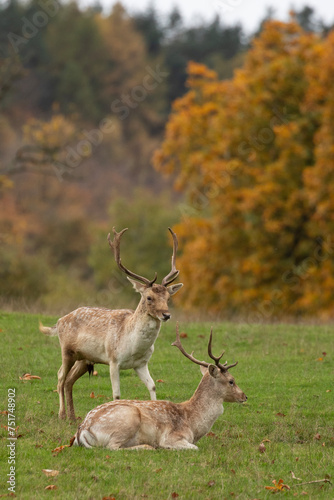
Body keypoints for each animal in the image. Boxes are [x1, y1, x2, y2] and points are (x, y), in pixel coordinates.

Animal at [41, 227, 185, 418]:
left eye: (168, 298)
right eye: (149, 297)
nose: (166, 315)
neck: (133, 346)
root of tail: (59, 321)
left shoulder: (141, 364)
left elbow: (153, 386)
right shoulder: (113, 360)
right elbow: (116, 395)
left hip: (84, 358)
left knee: (69, 380)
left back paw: (72, 417)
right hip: (67, 351)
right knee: (59, 377)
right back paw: (62, 415)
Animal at [72, 326, 245, 452]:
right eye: (231, 381)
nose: (244, 396)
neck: (192, 423)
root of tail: (82, 429)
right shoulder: (172, 437)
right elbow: (195, 447)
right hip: (128, 418)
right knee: (112, 447)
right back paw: (147, 447)